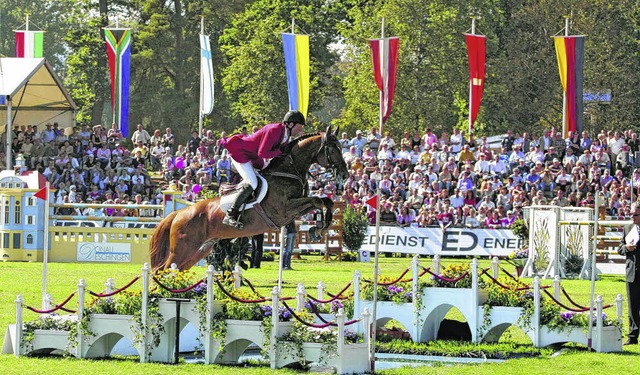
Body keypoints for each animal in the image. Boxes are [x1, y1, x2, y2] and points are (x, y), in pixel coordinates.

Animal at [149, 125, 350, 270]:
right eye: (334, 150)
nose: (345, 175)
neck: (288, 170)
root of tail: (178, 214)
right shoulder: (284, 210)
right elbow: (317, 200)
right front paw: (319, 228)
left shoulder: (295, 210)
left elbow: (325, 201)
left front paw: (319, 228)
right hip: (182, 249)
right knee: (161, 270)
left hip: (199, 250)